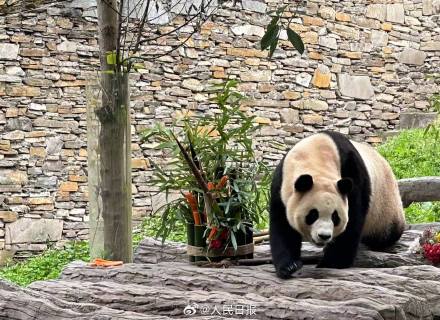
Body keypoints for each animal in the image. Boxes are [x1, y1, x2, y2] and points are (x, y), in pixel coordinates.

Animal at [270, 131, 408, 278]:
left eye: (335, 217)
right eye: (312, 215)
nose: (324, 236)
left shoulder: (351, 171)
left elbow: (352, 219)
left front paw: (331, 263)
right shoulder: (281, 185)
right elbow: (282, 225)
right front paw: (289, 266)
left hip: (385, 209)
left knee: (386, 233)